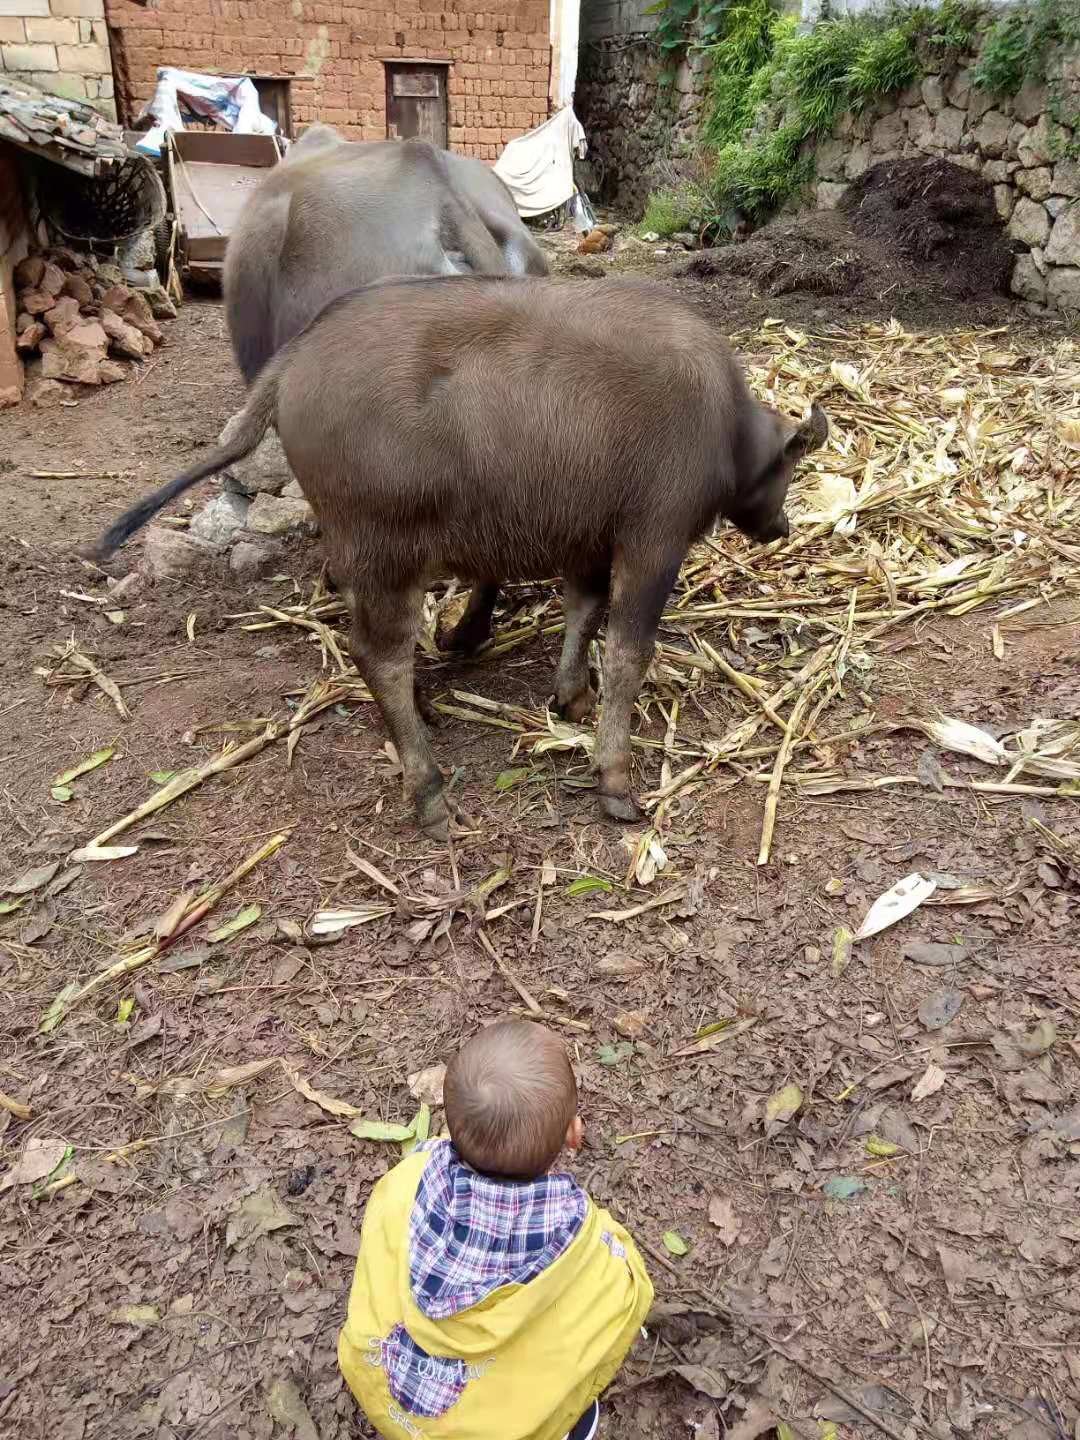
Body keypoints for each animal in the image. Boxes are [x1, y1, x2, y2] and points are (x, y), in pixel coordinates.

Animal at [97, 277, 835, 840]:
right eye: (790, 468)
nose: (781, 525)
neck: (722, 423)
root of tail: (298, 354)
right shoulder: (653, 542)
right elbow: (628, 654)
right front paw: (614, 777)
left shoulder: (589, 541)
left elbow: (582, 612)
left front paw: (570, 695)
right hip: (387, 555)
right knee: (379, 655)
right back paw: (426, 786)